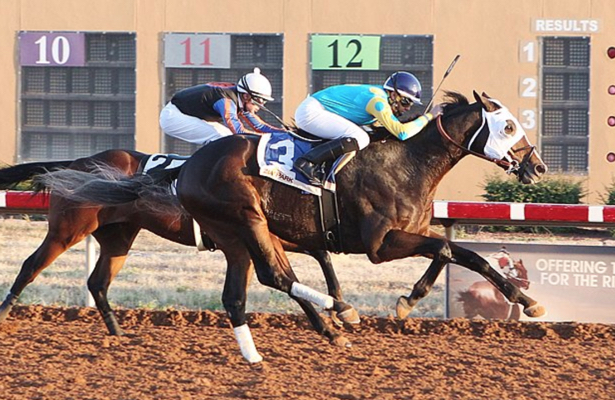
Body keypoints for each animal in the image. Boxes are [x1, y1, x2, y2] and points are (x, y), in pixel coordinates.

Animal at [0, 148, 352, 336]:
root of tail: (78, 163)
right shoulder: (265, 240)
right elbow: (290, 277)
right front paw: (330, 322)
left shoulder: (275, 239)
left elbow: (320, 254)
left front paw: (340, 308)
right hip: (67, 231)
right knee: (31, 266)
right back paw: (4, 312)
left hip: (118, 237)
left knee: (97, 282)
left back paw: (118, 332)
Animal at [38, 91, 548, 362]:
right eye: (507, 126)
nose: (537, 167)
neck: (405, 162)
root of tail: (184, 171)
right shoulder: (380, 244)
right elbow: (455, 251)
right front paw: (522, 300)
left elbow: (452, 251)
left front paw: (411, 300)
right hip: (243, 219)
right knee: (275, 276)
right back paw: (334, 314)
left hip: (231, 235)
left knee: (242, 292)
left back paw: (284, 341)